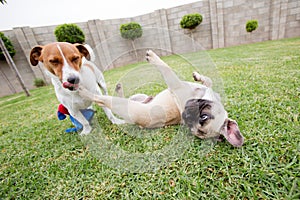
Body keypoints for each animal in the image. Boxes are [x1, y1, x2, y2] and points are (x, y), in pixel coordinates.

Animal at [79, 50, 244, 147]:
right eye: (204, 116)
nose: (185, 114)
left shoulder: (175, 84)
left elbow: (166, 68)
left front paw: (153, 57)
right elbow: (209, 80)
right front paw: (199, 76)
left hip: (124, 105)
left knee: (101, 98)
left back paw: (81, 90)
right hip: (140, 97)